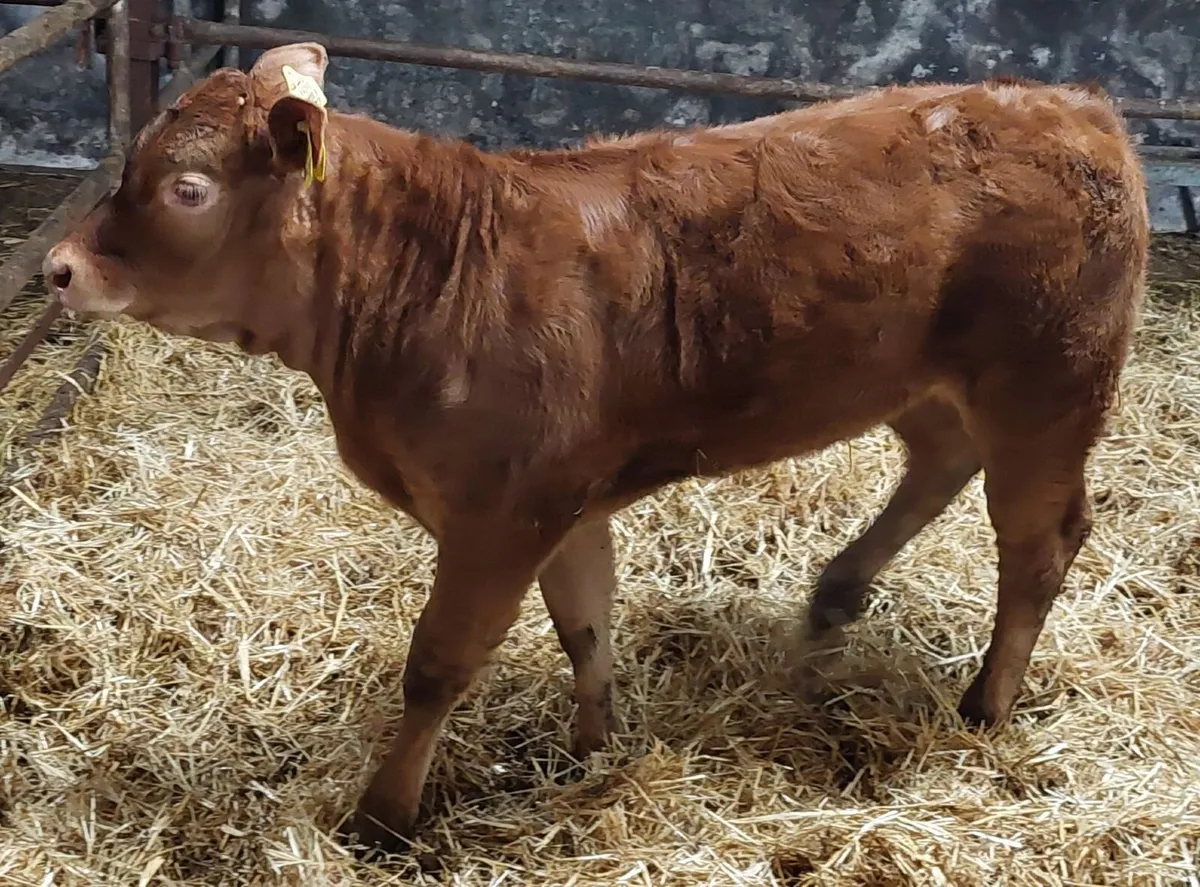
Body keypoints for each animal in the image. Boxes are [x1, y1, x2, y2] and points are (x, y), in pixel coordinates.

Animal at [42, 42, 1149, 853]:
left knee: (1041, 541)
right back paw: (839, 589)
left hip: (1048, 386)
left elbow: (438, 664)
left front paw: (383, 816)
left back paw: (985, 702)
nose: (55, 266)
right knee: (940, 458)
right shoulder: (560, 500)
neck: (423, 275)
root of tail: (1073, 104)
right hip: (920, 379)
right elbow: (583, 622)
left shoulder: (501, 513)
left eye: (187, 188)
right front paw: (591, 747)